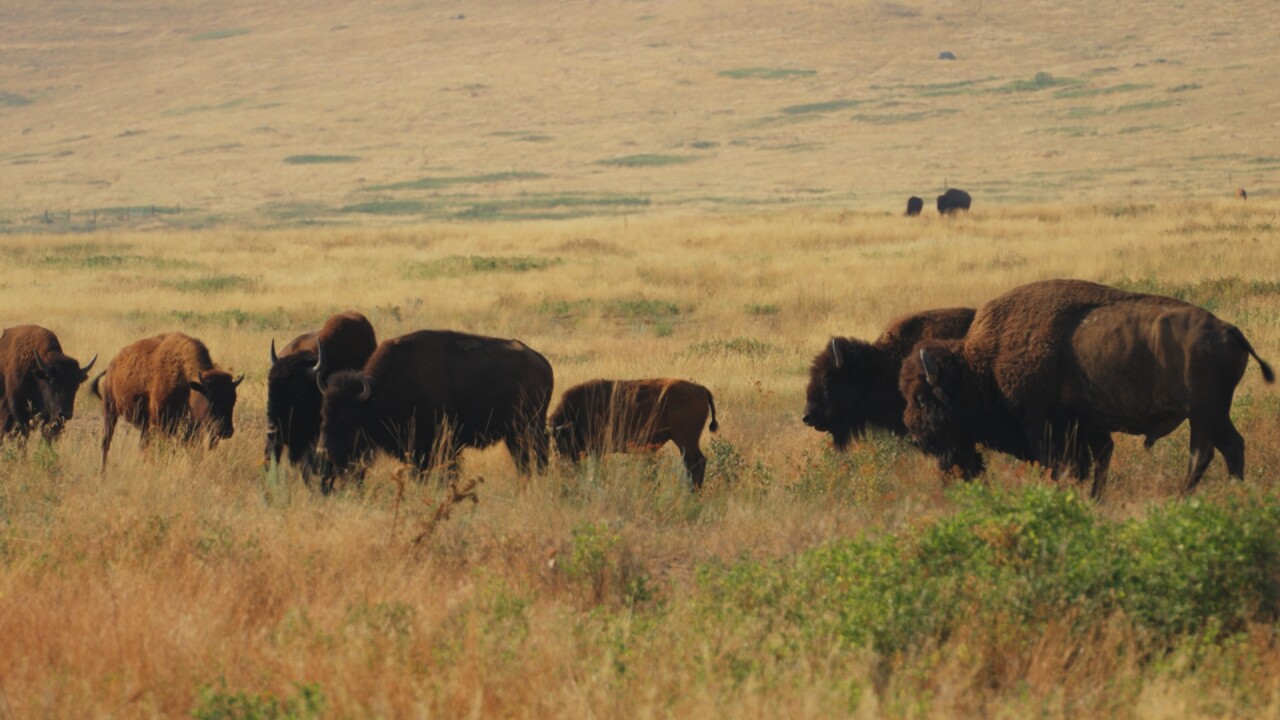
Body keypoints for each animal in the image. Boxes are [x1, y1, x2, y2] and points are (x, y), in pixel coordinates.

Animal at [95, 332, 243, 466]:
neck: (189, 385)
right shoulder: (162, 424)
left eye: (233, 400)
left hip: (143, 425)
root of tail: (112, 364)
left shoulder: (191, 428)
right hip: (110, 410)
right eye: (210, 399)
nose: (226, 431)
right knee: (106, 442)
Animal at [317, 330, 553, 485]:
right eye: (323, 412)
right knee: (523, 460)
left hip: (531, 427)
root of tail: (542, 362)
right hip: (513, 434)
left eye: (348, 415)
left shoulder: (444, 445)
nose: (324, 450)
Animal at [900, 279, 1274, 497]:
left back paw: (1185, 496)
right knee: (1230, 447)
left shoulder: (1045, 425)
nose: (917, 437)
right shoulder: (1089, 426)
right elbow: (1100, 459)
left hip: (1203, 413)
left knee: (1203, 453)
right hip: (1214, 414)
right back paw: (1233, 493)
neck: (984, 363)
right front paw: (1095, 497)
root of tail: (1230, 331)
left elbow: (1061, 465)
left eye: (924, 398)